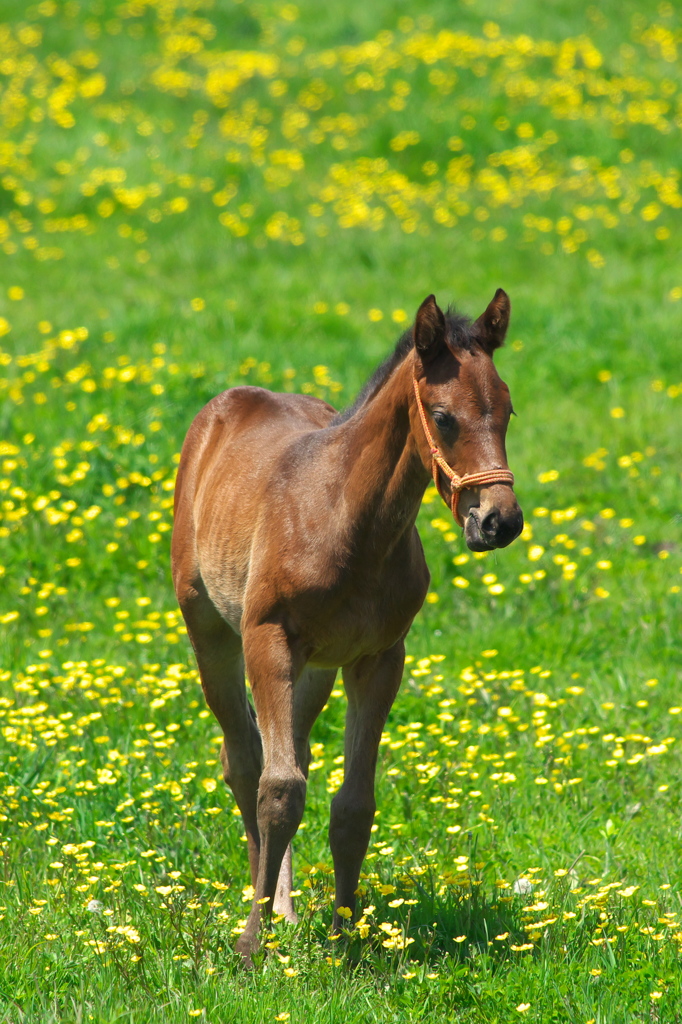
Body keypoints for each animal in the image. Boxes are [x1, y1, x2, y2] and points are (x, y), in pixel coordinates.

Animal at [171, 288, 520, 958]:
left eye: (508, 412)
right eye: (443, 417)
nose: (500, 522)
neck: (346, 518)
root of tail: (231, 400)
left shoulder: (379, 657)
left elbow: (354, 803)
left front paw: (345, 935)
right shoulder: (267, 639)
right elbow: (276, 789)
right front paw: (250, 946)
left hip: (317, 669)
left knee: (294, 755)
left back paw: (287, 909)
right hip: (212, 632)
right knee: (245, 761)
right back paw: (264, 910)